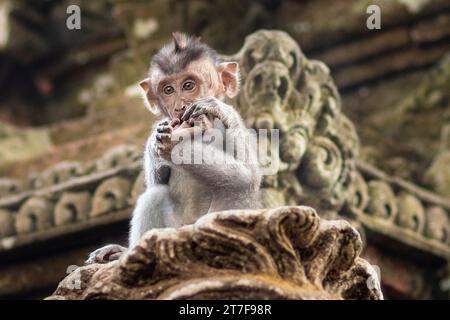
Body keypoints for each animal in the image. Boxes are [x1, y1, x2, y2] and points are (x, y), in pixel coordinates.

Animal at [85, 32, 260, 264]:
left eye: (188, 85)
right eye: (168, 90)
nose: (179, 107)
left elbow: (249, 176)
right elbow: (156, 182)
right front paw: (161, 144)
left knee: (239, 186)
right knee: (155, 194)